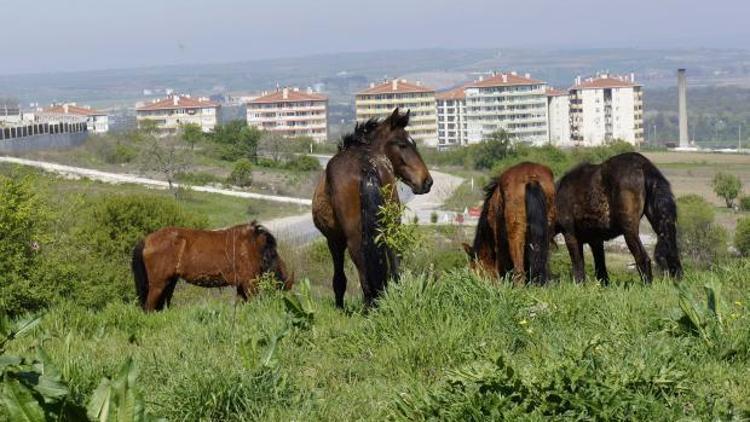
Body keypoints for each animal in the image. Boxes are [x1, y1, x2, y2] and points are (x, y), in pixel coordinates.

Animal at [131, 223, 292, 312]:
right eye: (272, 252)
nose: (286, 282)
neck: (249, 246)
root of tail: (146, 240)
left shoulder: (241, 286)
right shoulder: (249, 284)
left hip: (169, 283)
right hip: (158, 285)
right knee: (149, 308)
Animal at [312, 108, 434, 306]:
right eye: (403, 145)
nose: (427, 181)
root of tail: (365, 166)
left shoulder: (333, 240)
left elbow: (339, 279)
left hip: (354, 239)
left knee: (364, 273)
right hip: (391, 228)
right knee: (393, 264)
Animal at [556, 152, 684, 284]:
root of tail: (644, 164)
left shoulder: (570, 236)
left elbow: (578, 268)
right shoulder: (596, 241)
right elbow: (601, 270)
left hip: (629, 230)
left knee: (643, 259)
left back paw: (647, 285)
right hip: (661, 225)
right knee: (673, 257)